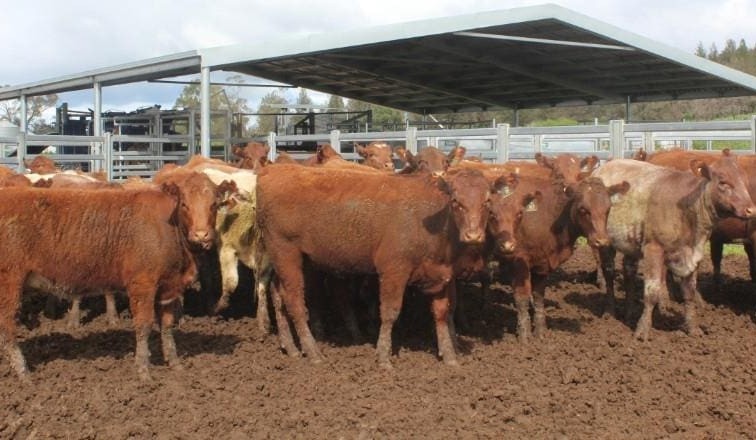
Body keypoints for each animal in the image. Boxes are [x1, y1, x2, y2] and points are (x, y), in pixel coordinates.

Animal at [256, 165, 498, 367]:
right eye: (456, 201)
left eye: (487, 202)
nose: (473, 235)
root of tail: (274, 170)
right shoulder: (393, 270)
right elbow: (390, 312)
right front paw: (383, 357)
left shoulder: (441, 275)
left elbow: (441, 313)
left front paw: (449, 356)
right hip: (286, 253)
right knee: (295, 302)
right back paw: (313, 352)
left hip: (292, 259)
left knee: (278, 296)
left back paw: (291, 347)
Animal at [592, 156, 756, 340]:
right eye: (723, 182)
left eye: (743, 181)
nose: (751, 210)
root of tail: (603, 167)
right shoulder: (653, 249)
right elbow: (652, 292)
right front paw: (642, 330)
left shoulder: (694, 254)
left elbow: (689, 292)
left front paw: (693, 328)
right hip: (606, 243)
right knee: (609, 272)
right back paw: (609, 312)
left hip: (630, 242)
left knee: (629, 272)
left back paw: (629, 313)